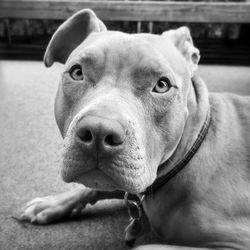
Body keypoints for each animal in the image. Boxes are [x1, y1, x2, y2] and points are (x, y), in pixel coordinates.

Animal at [21, 8, 250, 249]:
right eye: (76, 72)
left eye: (162, 85)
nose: (98, 131)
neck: (191, 148)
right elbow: (93, 187)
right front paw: (51, 204)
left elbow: (145, 245)